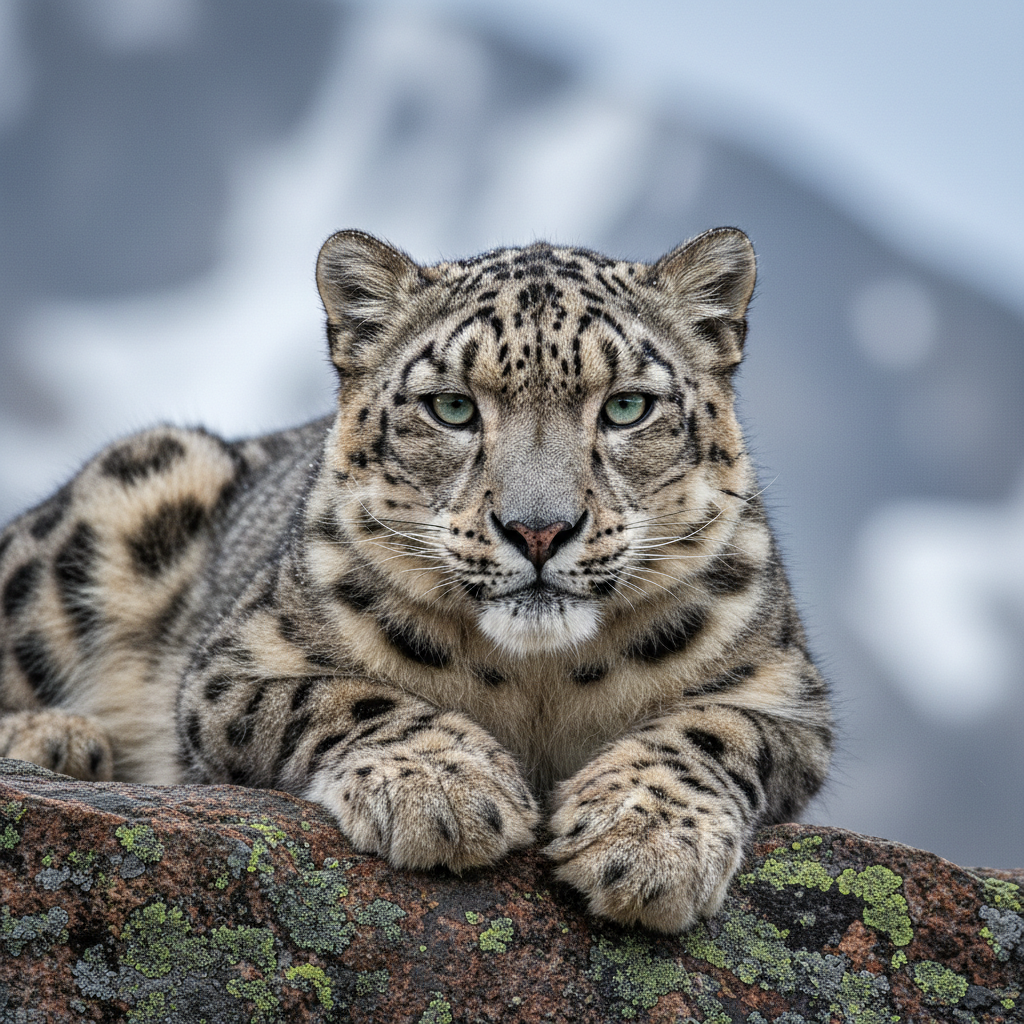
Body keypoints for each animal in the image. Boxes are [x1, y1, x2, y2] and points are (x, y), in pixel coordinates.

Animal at [0, 227, 833, 932]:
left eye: (627, 406)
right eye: (453, 408)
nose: (539, 529)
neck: (538, 684)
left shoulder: (784, 692)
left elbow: (710, 731)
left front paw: (645, 844)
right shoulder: (237, 666)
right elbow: (344, 694)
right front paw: (445, 792)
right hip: (129, 495)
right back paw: (58, 737)